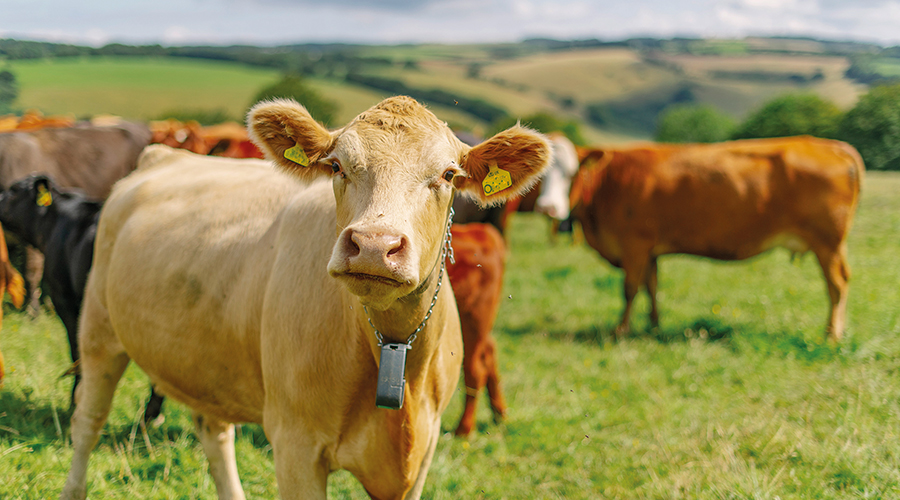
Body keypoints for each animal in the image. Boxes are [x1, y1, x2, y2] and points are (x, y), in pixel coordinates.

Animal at [564, 135, 864, 342]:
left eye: (570, 172)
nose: (554, 207)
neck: (608, 182)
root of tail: (832, 146)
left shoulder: (634, 244)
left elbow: (629, 289)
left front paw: (621, 330)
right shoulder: (649, 250)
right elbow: (652, 287)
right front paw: (654, 326)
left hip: (827, 243)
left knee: (837, 284)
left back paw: (832, 335)